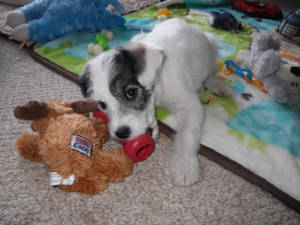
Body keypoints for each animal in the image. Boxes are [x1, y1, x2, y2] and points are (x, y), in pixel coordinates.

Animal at [79, 18, 220, 185]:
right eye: (102, 105)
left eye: (131, 93)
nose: (121, 133)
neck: (158, 84)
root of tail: (184, 21)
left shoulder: (190, 104)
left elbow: (188, 134)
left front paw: (185, 165)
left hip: (212, 47)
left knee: (210, 73)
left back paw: (216, 85)